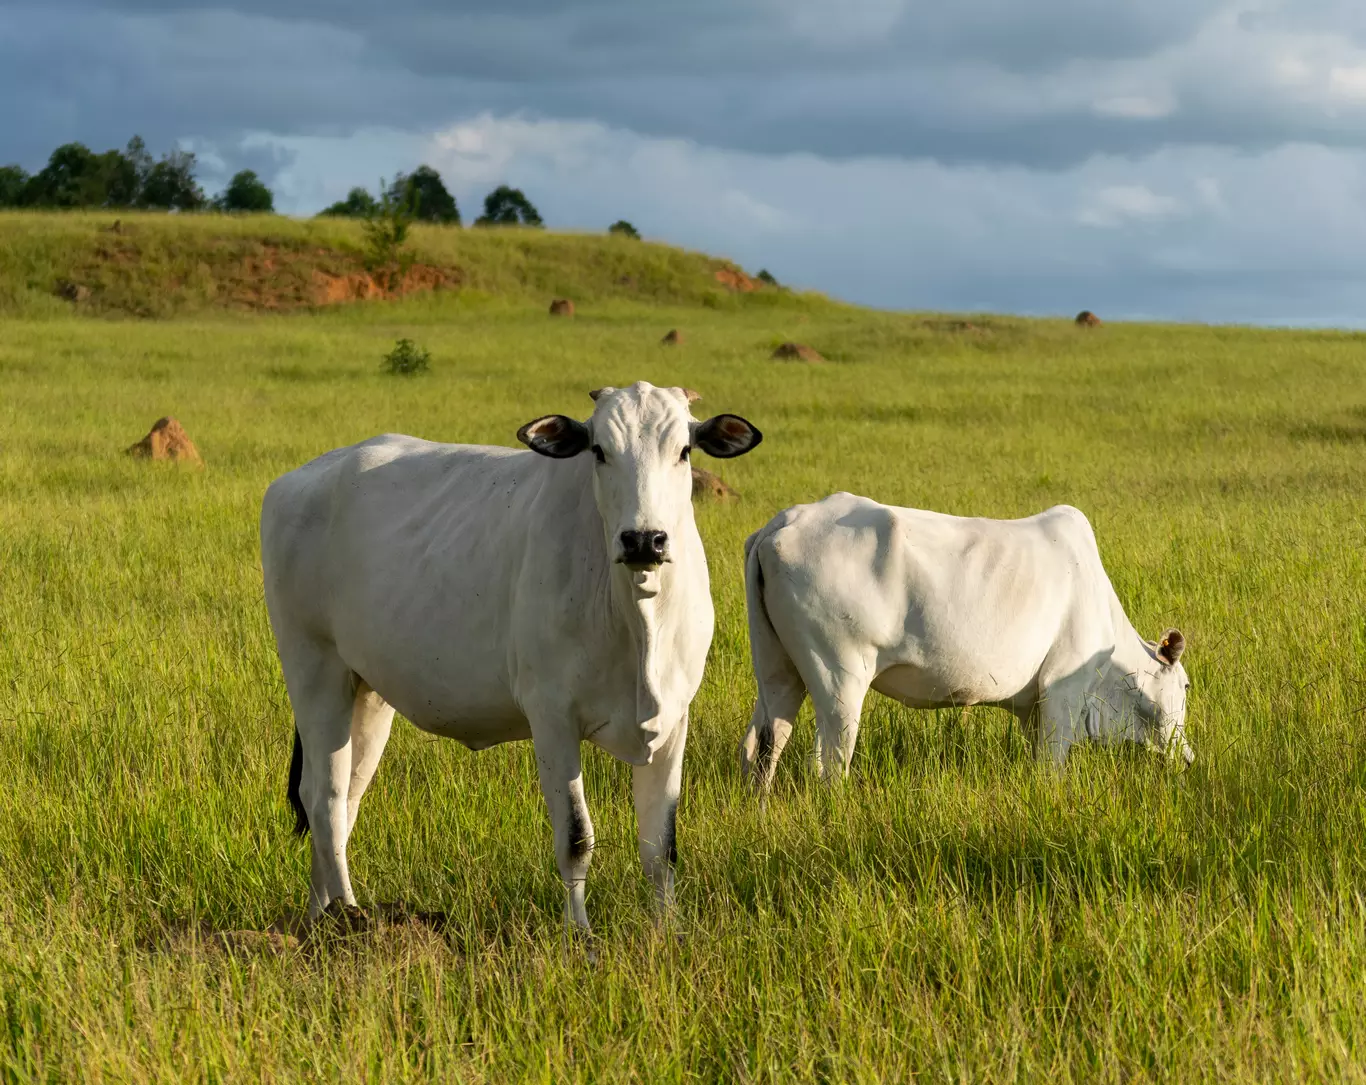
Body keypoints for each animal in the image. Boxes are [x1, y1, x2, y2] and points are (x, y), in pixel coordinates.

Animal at [260, 381, 762, 932]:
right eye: (599, 450)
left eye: (684, 450)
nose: (643, 540)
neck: (637, 616)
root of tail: (299, 479)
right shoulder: (552, 718)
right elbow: (576, 839)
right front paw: (579, 935)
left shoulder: (673, 719)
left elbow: (660, 846)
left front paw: (668, 932)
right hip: (312, 668)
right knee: (324, 800)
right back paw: (350, 917)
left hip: (367, 692)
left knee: (343, 799)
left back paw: (319, 919)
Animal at [738, 494, 1192, 788]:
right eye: (1186, 685)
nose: (1187, 758)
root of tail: (781, 525)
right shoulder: (1063, 690)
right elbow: (1051, 766)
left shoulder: (1034, 707)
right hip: (839, 678)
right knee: (829, 763)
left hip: (778, 670)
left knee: (761, 745)